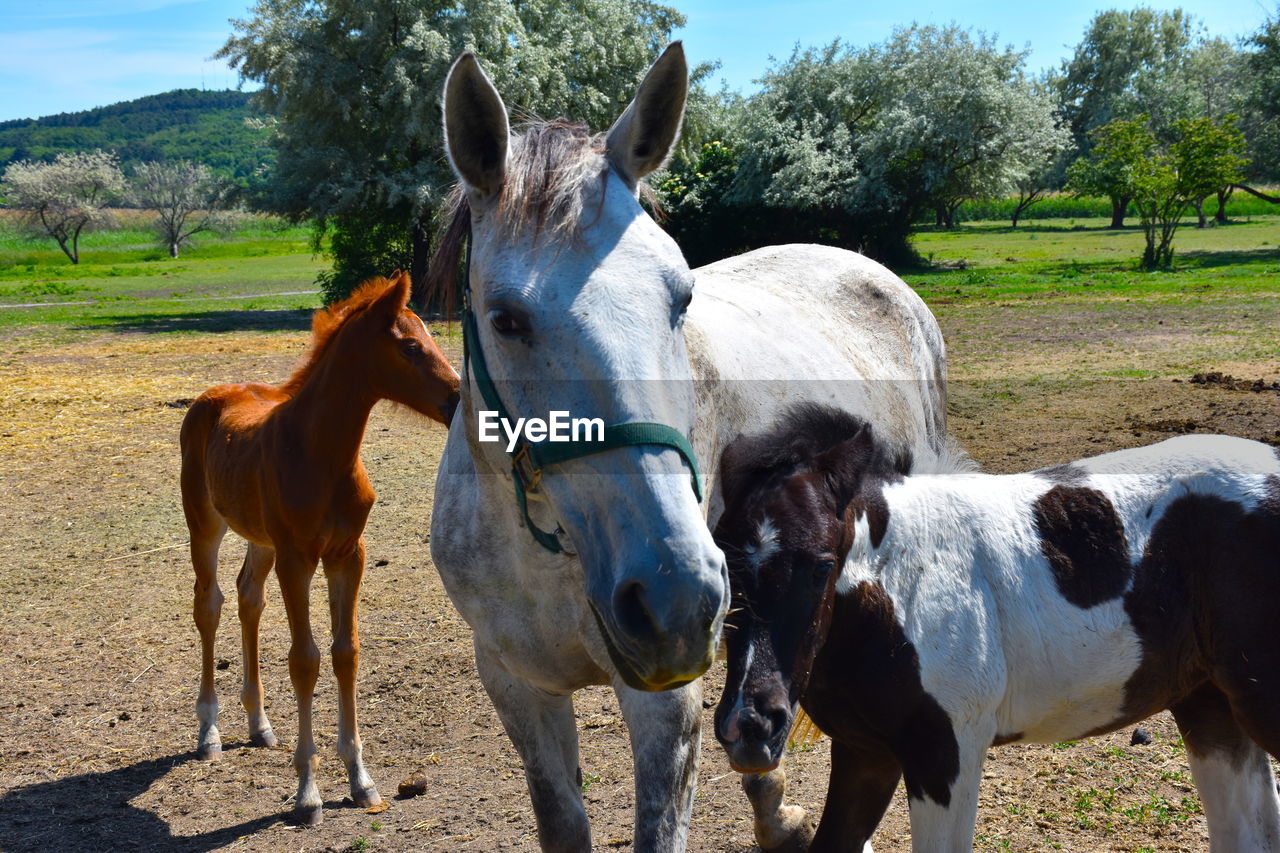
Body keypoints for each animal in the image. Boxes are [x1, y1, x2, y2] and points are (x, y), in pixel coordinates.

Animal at [177, 272, 460, 824]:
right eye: (411, 347)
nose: (461, 399)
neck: (320, 453)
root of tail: (212, 394)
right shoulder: (298, 559)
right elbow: (304, 660)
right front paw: (307, 793)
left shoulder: (348, 554)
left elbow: (345, 652)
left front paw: (361, 780)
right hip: (205, 523)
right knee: (210, 604)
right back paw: (209, 733)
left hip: (260, 539)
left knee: (248, 598)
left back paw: (260, 725)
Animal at [711, 404, 1280, 850]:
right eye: (723, 564)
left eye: (822, 565)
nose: (750, 726)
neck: (899, 582)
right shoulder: (866, 753)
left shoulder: (946, 753)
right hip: (1209, 704)